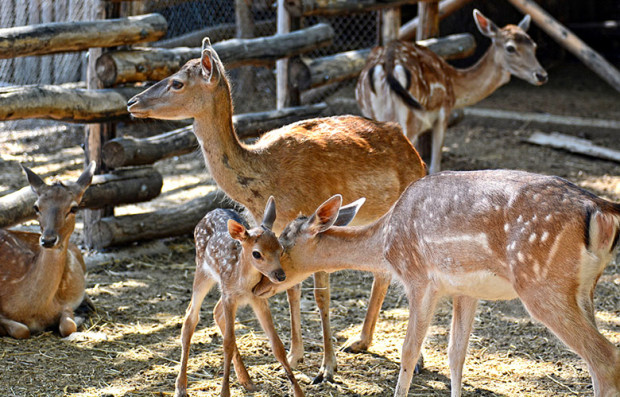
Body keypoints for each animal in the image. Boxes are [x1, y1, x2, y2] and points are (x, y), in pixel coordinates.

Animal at [0, 161, 95, 338]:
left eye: (74, 208)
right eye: (36, 207)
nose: (48, 239)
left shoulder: (64, 305)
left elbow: (68, 326)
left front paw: (79, 316)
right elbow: (22, 330)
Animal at [174, 198, 306, 396]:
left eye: (281, 249)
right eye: (257, 253)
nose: (280, 275)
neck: (243, 281)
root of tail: (210, 212)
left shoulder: (258, 298)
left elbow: (277, 344)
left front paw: (298, 391)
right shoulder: (229, 296)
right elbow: (227, 343)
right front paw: (224, 392)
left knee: (216, 312)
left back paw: (247, 380)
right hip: (203, 271)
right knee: (191, 317)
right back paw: (181, 387)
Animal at [253, 171, 620, 396]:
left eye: (282, 245)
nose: (259, 287)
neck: (386, 244)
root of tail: (601, 209)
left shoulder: (419, 279)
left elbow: (409, 350)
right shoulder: (465, 290)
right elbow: (456, 353)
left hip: (542, 283)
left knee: (604, 357)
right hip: (584, 288)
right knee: (595, 359)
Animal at [358, 8, 548, 173]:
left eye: (534, 45)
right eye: (510, 48)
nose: (542, 75)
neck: (454, 85)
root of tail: (388, 63)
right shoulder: (445, 110)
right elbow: (435, 166)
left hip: (371, 111)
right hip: (409, 117)